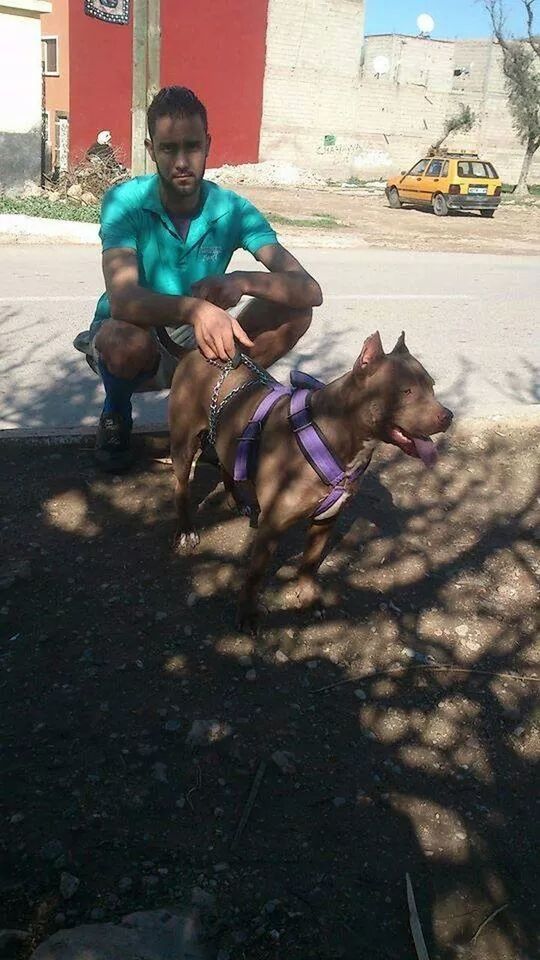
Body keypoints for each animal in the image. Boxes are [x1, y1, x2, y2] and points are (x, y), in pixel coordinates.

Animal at [169, 334, 452, 632]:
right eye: (406, 392)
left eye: (432, 386)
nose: (448, 415)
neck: (334, 431)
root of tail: (194, 352)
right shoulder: (271, 526)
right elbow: (256, 574)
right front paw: (246, 613)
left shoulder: (326, 520)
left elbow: (310, 562)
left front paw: (306, 597)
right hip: (184, 445)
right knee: (181, 487)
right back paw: (186, 530)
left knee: (226, 465)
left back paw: (238, 501)